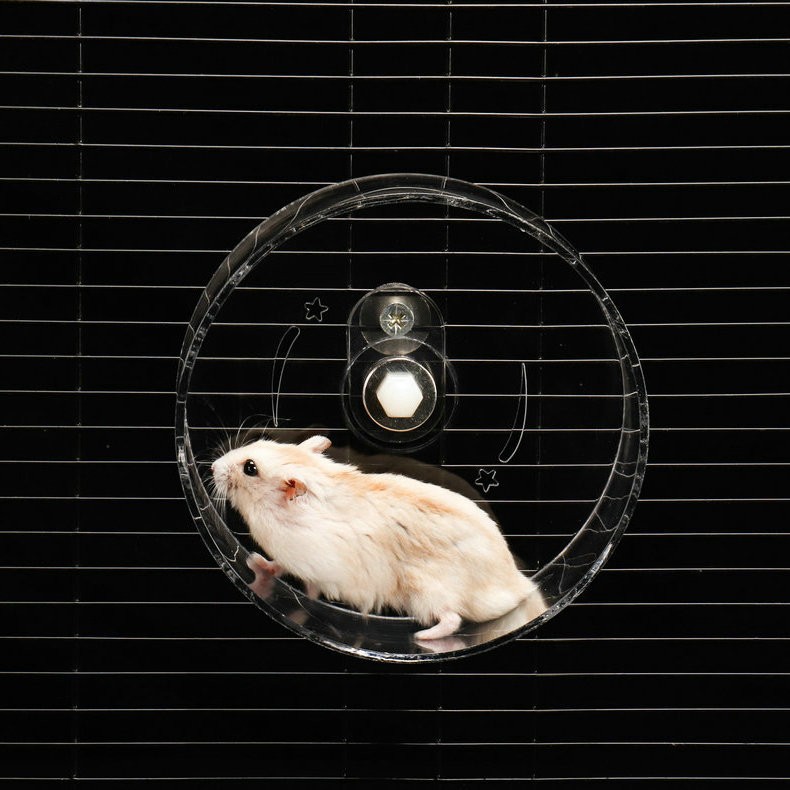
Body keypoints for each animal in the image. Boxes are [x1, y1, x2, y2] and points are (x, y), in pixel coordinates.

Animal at [211, 435, 539, 640]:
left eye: (250, 467)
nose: (212, 467)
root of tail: (519, 585)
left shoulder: (311, 562)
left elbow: (288, 573)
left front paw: (256, 563)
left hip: (428, 592)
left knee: (452, 619)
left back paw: (421, 637)